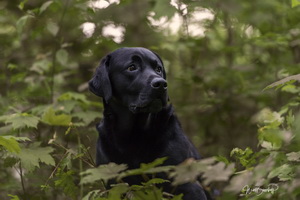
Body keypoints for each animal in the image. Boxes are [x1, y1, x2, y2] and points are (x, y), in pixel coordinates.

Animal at [88, 47, 207, 200]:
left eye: (158, 69)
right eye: (132, 67)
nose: (161, 84)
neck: (134, 135)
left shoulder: (188, 184)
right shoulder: (114, 185)